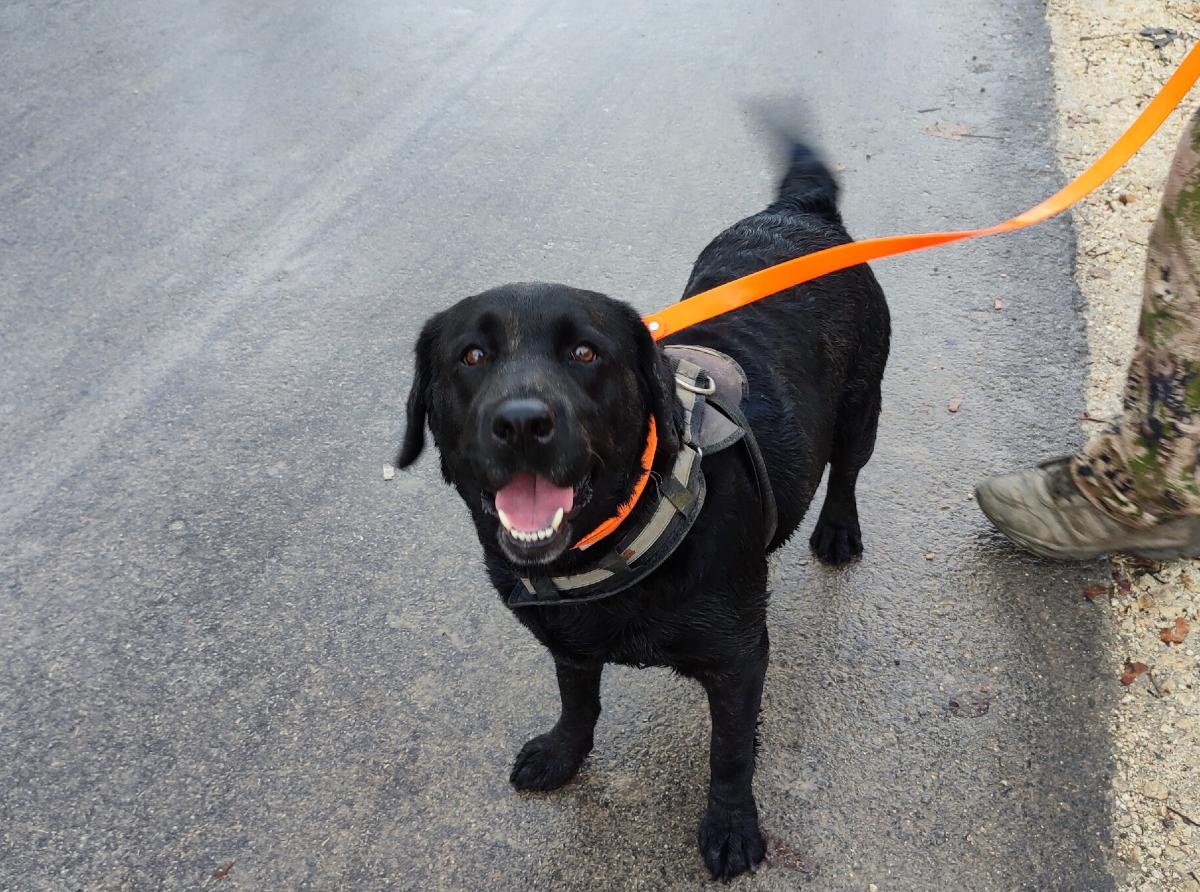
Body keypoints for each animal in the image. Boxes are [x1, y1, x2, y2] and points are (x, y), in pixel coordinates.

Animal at [398, 141, 888, 878]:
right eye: (471, 355)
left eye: (585, 351)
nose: (521, 423)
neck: (615, 538)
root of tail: (800, 211)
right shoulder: (567, 643)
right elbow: (578, 701)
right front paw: (563, 752)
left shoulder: (741, 658)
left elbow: (730, 754)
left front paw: (732, 826)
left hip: (863, 405)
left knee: (847, 473)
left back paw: (837, 530)